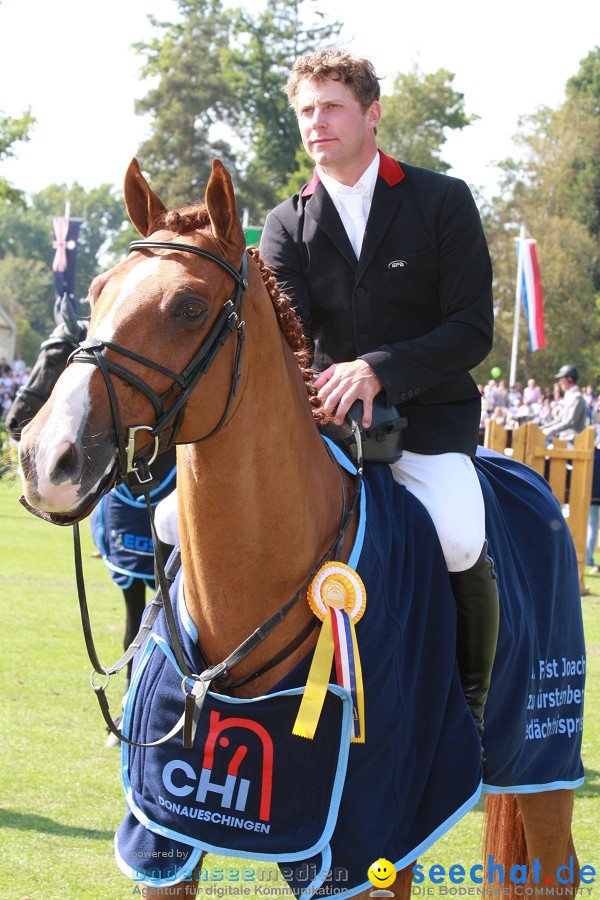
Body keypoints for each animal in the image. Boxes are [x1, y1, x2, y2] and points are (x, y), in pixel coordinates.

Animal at [17, 158, 580, 896]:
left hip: (544, 763)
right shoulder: (162, 836)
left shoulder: (371, 837)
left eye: (188, 307)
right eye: (97, 290)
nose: (44, 457)